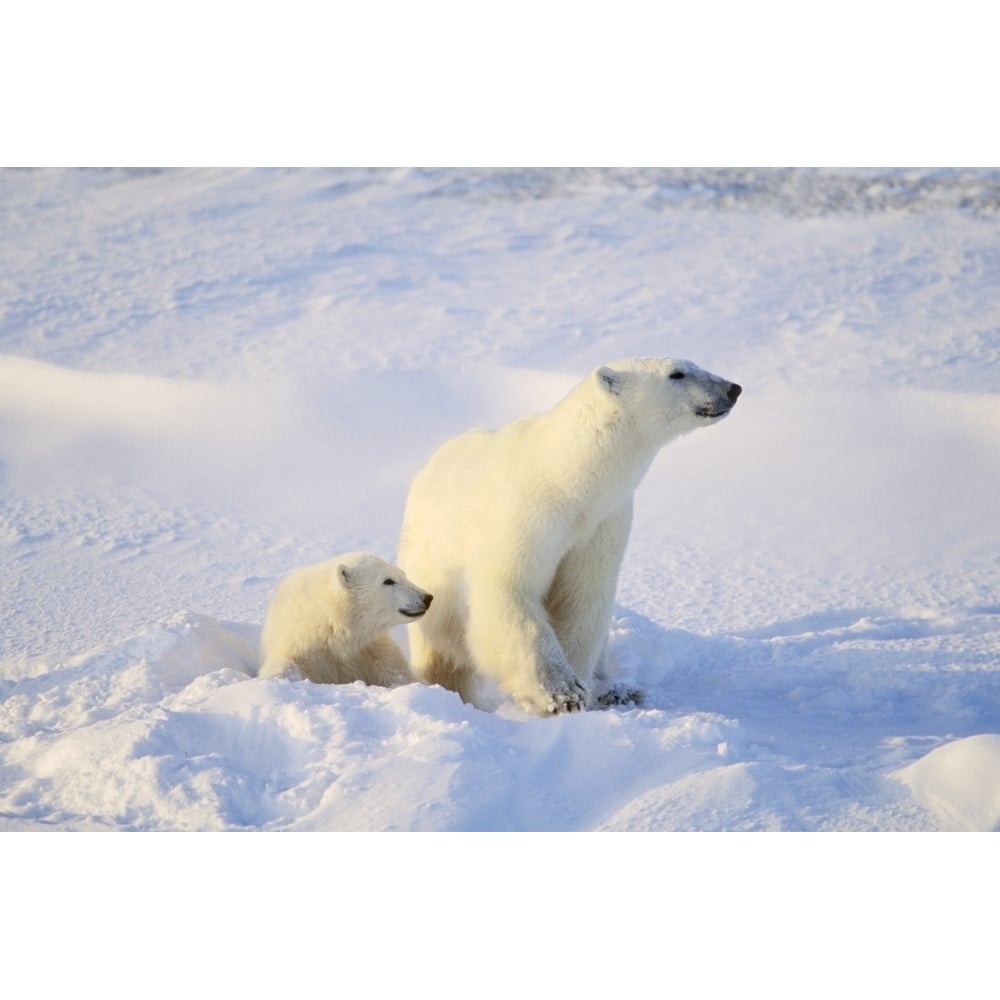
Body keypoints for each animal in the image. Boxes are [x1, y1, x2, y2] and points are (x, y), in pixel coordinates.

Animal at [256, 556, 432, 688]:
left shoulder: (370, 649)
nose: (427, 597)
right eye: (388, 581)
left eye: (403, 574)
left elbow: (398, 672)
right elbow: (287, 666)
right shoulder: (302, 646)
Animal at [394, 356, 740, 716]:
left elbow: (581, 598)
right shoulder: (525, 516)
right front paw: (561, 693)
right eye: (677, 374)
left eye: (694, 364)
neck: (566, 479)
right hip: (430, 561)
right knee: (441, 648)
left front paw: (582, 687)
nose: (733, 388)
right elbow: (510, 592)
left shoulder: (602, 522)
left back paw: (617, 690)